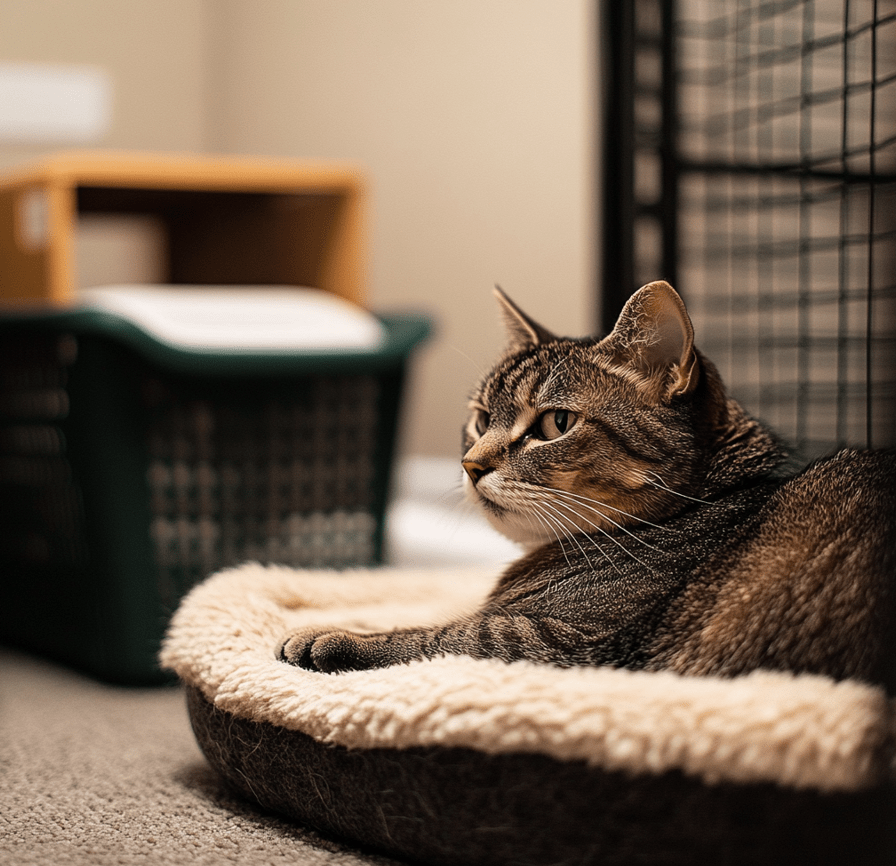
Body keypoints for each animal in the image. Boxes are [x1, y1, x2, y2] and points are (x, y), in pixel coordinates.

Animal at [282, 280, 896, 684]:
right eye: (480, 419)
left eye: (556, 424)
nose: (471, 464)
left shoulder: (568, 646)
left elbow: (440, 635)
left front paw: (332, 635)